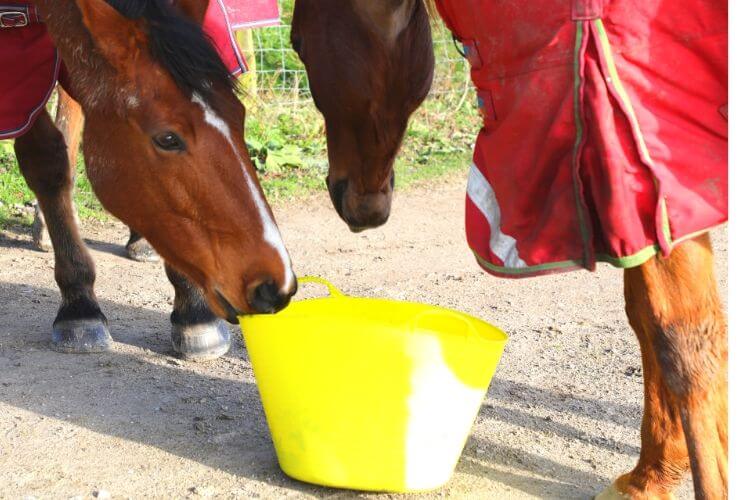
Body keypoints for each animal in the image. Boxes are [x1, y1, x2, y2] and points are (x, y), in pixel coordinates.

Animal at [8, 0, 297, 360]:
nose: (275, 284)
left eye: (240, 115)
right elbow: (46, 161)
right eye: (168, 139)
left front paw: (193, 309)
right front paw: (79, 304)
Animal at [291, 1, 728, 498]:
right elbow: (646, 322)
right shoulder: (637, 206)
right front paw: (648, 477)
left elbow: (683, 345)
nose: (353, 203)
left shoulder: (655, 174)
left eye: (296, 43)